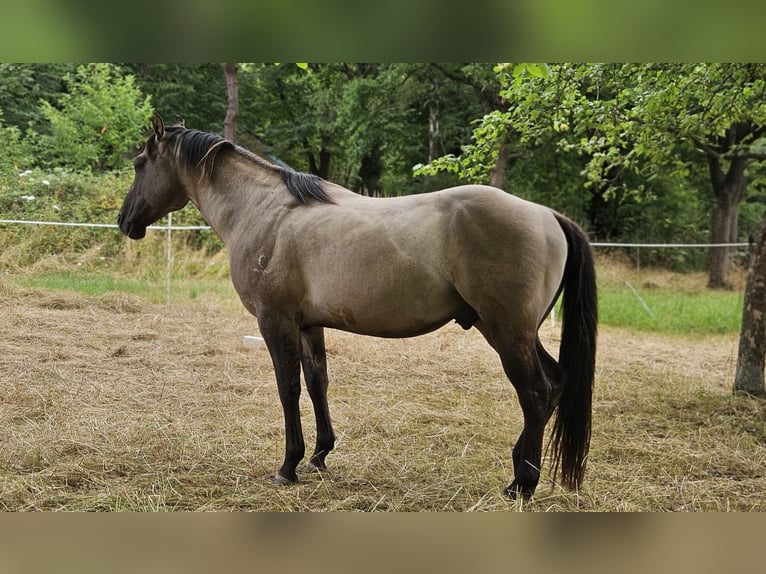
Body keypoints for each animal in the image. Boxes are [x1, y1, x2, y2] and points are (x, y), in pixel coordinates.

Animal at [118, 113, 597, 499]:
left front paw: (288, 466)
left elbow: (288, 390)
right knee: (554, 385)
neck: (267, 212)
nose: (125, 221)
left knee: (536, 393)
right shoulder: (309, 325)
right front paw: (319, 456)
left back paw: (522, 484)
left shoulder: (276, 322)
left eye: (140, 163)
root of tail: (548, 215)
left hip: (506, 332)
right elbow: (318, 383)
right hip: (514, 332)